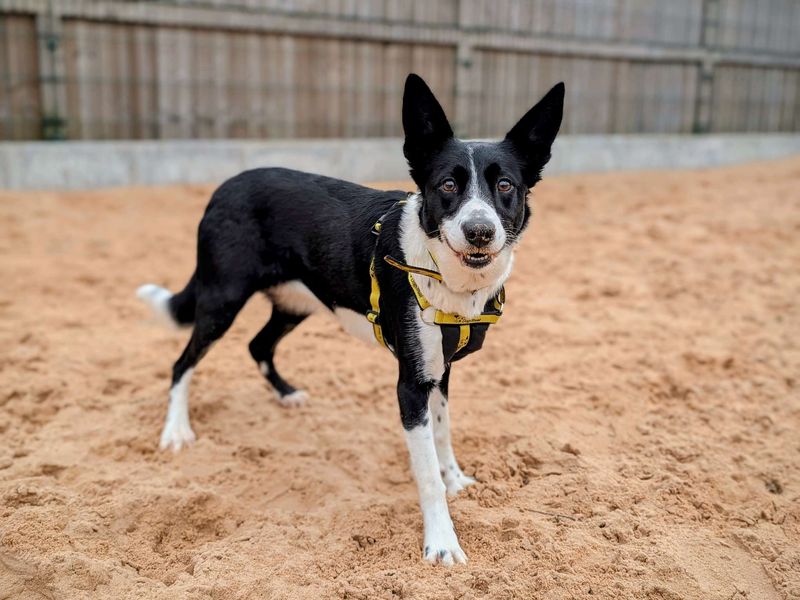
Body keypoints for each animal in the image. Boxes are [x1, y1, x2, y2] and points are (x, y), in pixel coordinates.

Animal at [139, 72, 564, 564]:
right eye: (448, 185)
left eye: (506, 185)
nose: (480, 231)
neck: (444, 275)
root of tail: (223, 187)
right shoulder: (411, 386)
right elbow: (427, 477)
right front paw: (441, 541)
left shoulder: (439, 372)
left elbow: (443, 435)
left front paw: (456, 478)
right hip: (221, 300)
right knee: (182, 362)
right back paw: (176, 431)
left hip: (295, 303)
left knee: (258, 344)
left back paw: (286, 395)